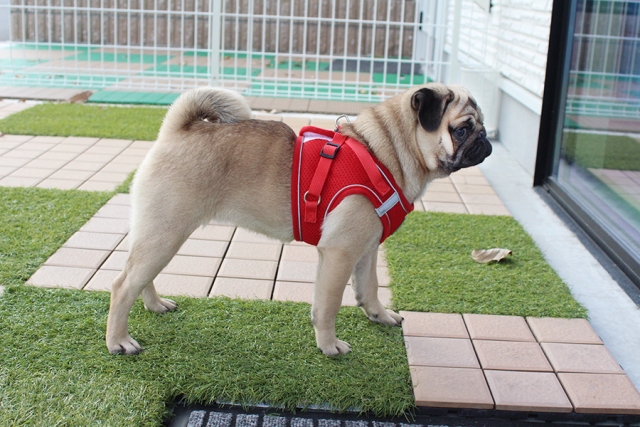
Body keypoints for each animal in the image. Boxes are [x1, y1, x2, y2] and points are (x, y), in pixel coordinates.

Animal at [106, 83, 492, 356]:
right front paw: (329, 346)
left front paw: (379, 316)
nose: (486, 140)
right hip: (166, 232)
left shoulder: (366, 249)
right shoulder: (339, 253)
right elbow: (328, 304)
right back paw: (119, 341)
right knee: (123, 285)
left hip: (160, 233)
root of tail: (177, 131)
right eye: (462, 129)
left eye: (482, 126)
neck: (386, 153)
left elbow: (369, 288)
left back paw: (155, 305)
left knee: (140, 276)